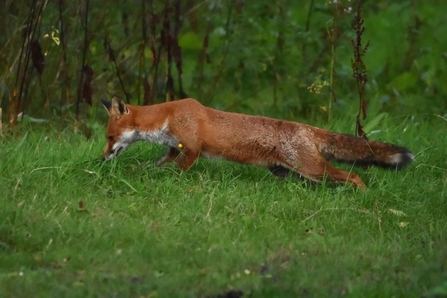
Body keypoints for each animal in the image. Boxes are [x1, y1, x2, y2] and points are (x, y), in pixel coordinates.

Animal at [100, 95, 414, 189]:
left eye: (109, 137)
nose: (101, 159)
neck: (168, 116)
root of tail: (307, 128)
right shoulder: (173, 148)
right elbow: (157, 164)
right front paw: (145, 172)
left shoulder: (192, 149)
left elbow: (176, 171)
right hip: (291, 173)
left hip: (313, 169)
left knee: (354, 175)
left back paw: (363, 195)